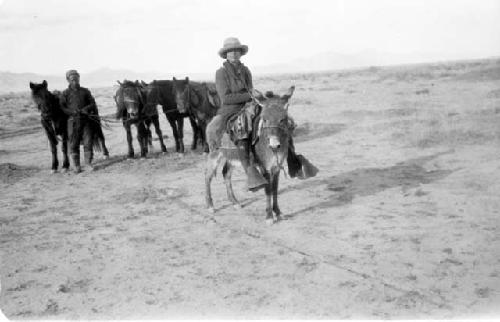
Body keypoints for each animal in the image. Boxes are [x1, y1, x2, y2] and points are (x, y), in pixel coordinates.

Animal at [204, 87, 294, 225]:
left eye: (283, 119)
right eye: (264, 119)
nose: (274, 145)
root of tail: (214, 119)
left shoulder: (276, 168)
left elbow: (275, 190)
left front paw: (278, 213)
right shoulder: (265, 168)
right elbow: (268, 190)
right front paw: (269, 217)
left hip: (232, 157)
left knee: (226, 174)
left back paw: (235, 203)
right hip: (215, 154)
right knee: (207, 176)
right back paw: (210, 206)